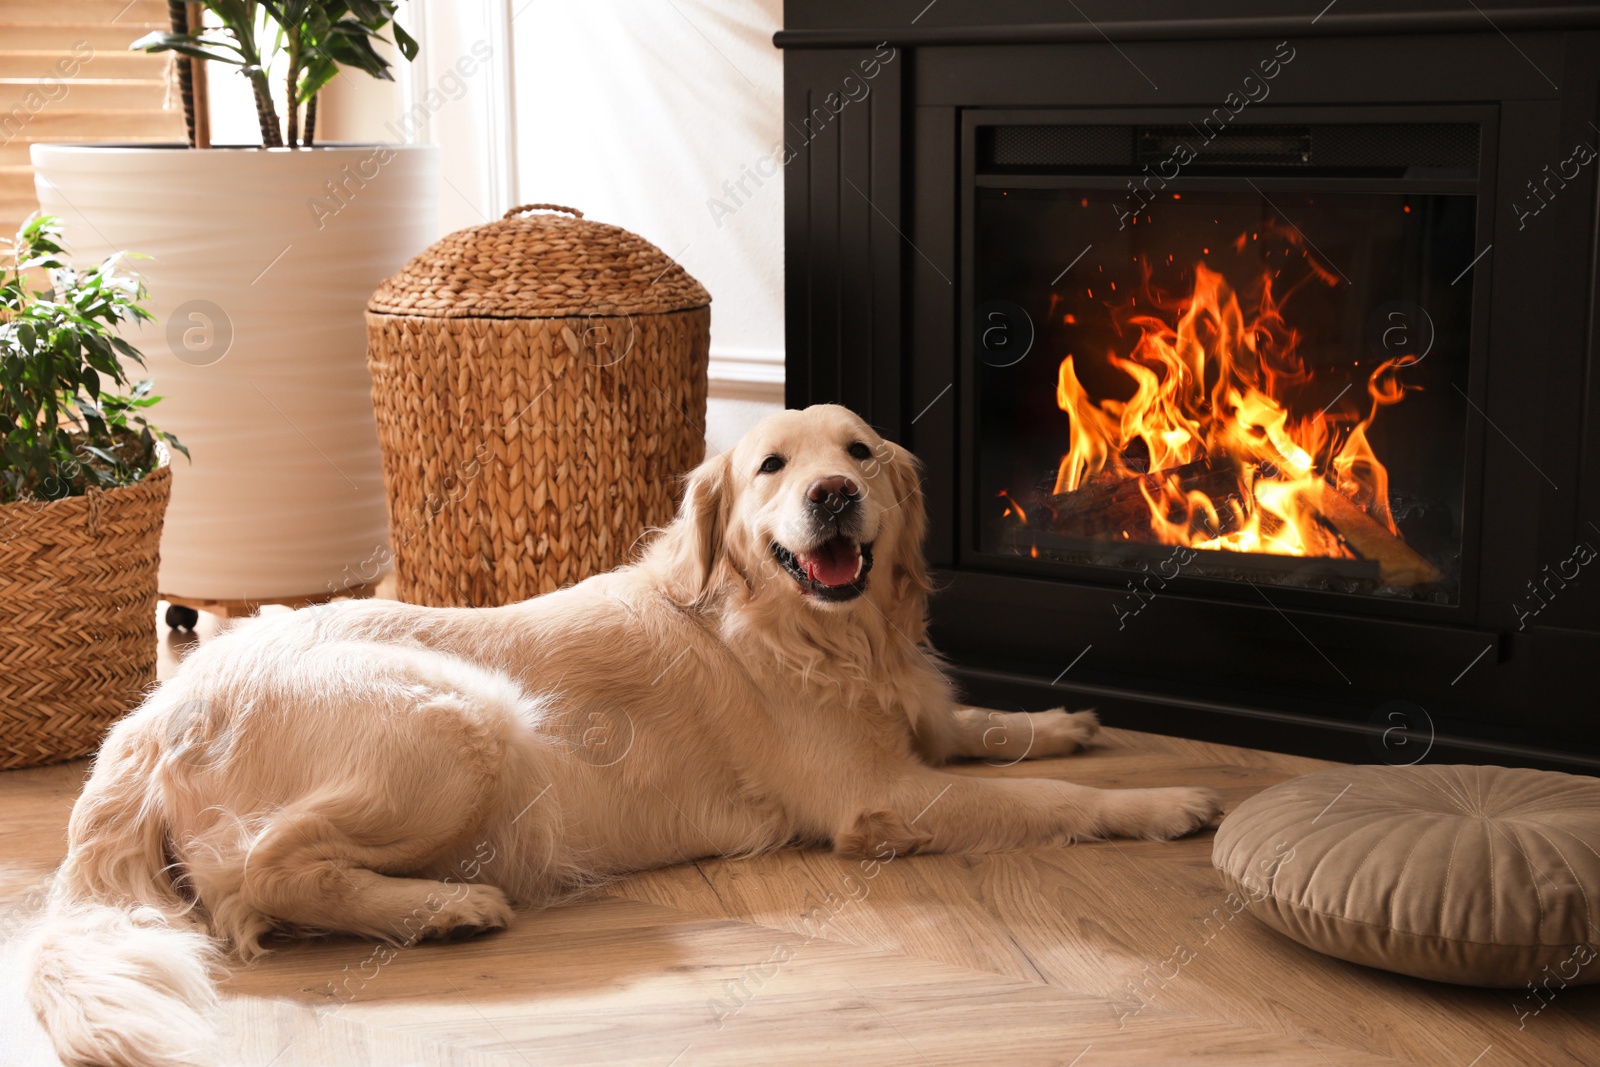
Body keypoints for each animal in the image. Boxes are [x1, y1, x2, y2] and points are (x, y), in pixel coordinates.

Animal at [25, 404, 1216, 1062]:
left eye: (862, 451)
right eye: (772, 468)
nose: (834, 494)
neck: (816, 632)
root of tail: (150, 716)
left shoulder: (914, 720)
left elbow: (987, 728)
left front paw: (1064, 717)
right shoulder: (880, 797)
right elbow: (1046, 802)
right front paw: (1164, 801)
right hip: (470, 720)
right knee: (263, 877)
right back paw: (445, 906)